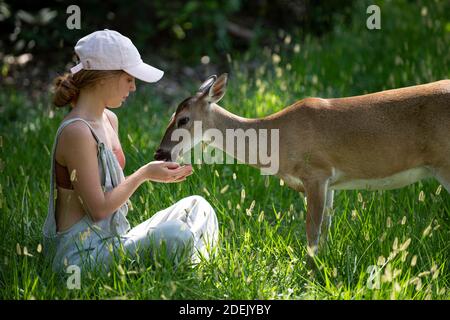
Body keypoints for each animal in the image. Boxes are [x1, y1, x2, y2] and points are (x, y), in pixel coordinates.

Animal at [156, 74, 450, 258]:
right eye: (170, 115)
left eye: (183, 119)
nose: (161, 152)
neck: (276, 139)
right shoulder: (330, 183)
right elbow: (325, 230)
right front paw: (325, 265)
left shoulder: (316, 173)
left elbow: (312, 232)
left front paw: (311, 273)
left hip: (444, 163)